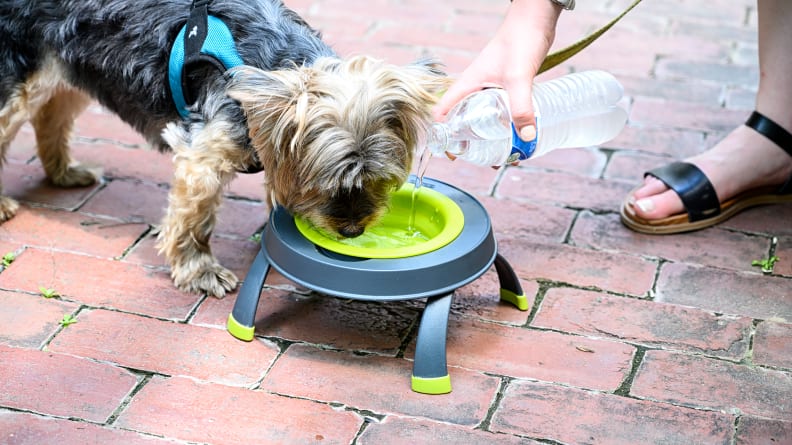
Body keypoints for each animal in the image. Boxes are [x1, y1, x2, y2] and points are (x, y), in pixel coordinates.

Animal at [0, 2, 446, 298]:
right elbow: (194, 219)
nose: (352, 230)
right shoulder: (203, 156)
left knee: (52, 114)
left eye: (379, 181)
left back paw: (63, 172)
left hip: (71, 67)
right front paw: (200, 271)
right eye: (326, 184)